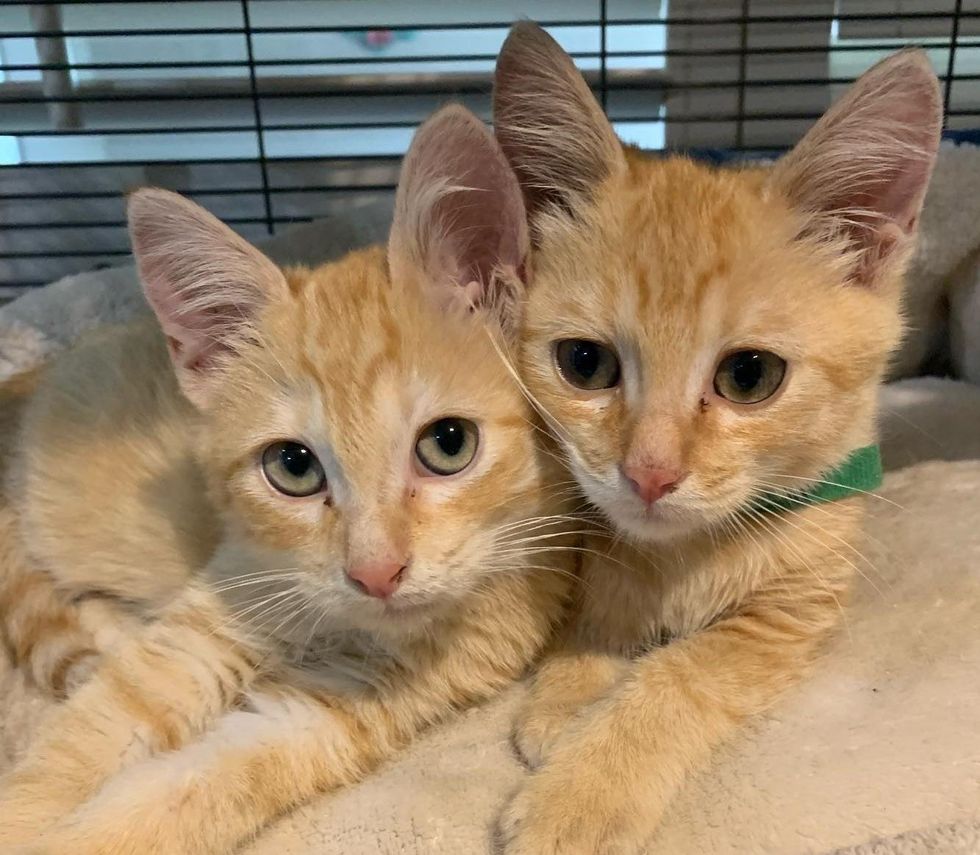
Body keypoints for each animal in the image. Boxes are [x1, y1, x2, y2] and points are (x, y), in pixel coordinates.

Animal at [0, 103, 576, 852]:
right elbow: (89, 740)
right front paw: (30, 810)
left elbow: (200, 787)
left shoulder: (342, 704)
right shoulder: (214, 610)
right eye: (293, 467)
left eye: (449, 444)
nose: (376, 574)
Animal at [490, 23, 940, 852]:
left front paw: (583, 788)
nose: (649, 473)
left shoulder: (794, 610)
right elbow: (600, 605)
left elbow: (685, 671)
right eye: (584, 363)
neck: (684, 554)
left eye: (750, 375)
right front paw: (570, 693)